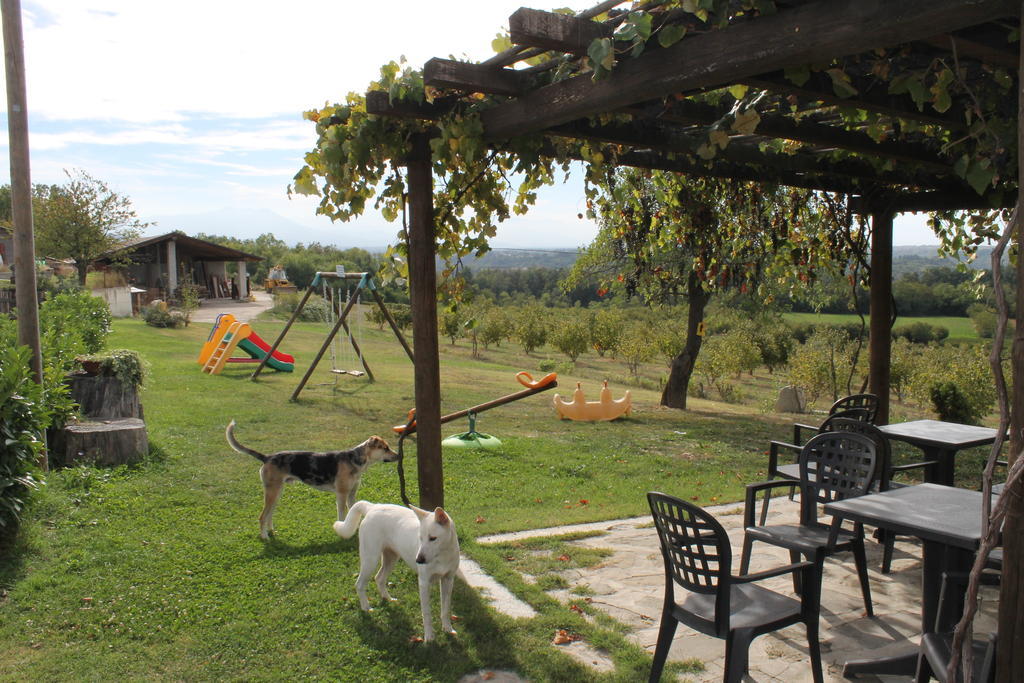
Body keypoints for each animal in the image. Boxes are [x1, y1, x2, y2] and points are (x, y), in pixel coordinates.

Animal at [335, 501, 460, 643]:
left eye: (433, 538)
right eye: (420, 538)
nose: (418, 560)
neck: (442, 555)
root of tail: (373, 507)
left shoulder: (448, 580)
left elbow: (446, 609)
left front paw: (448, 629)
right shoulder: (424, 583)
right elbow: (427, 613)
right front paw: (429, 637)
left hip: (391, 558)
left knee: (379, 578)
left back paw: (388, 598)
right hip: (370, 559)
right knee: (359, 584)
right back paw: (366, 608)